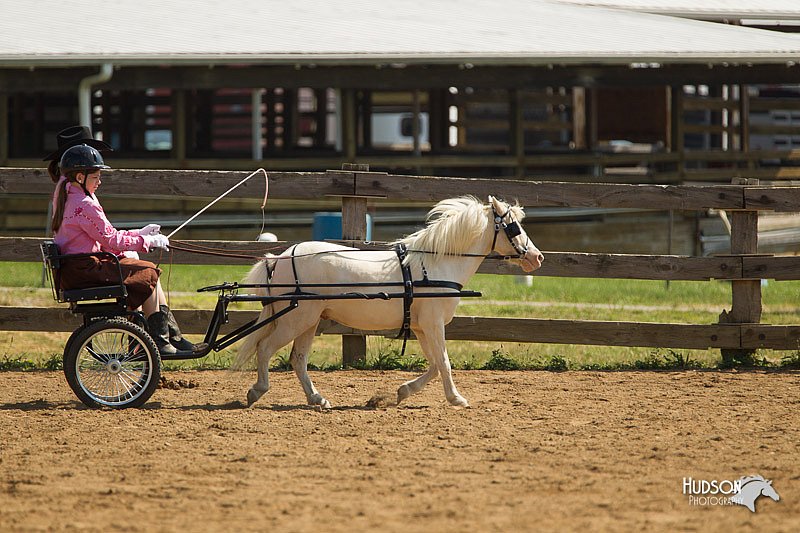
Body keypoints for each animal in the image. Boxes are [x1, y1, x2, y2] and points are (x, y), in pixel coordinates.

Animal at [233, 195, 544, 408]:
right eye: (513, 227)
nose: (537, 257)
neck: (436, 263)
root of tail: (280, 258)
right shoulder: (433, 324)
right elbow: (444, 362)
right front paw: (456, 398)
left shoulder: (421, 327)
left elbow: (434, 364)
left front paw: (402, 392)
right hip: (294, 320)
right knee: (265, 348)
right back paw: (257, 390)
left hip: (307, 321)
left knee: (298, 359)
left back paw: (318, 399)